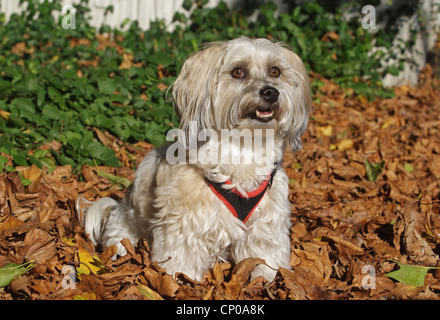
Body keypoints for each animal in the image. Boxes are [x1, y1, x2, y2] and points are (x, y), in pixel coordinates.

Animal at [80, 37, 312, 282]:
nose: (271, 92)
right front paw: (183, 280)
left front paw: (266, 277)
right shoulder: (185, 224)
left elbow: (264, 255)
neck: (243, 148)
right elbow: (181, 259)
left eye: (275, 71)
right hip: (124, 229)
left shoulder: (265, 223)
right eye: (238, 72)